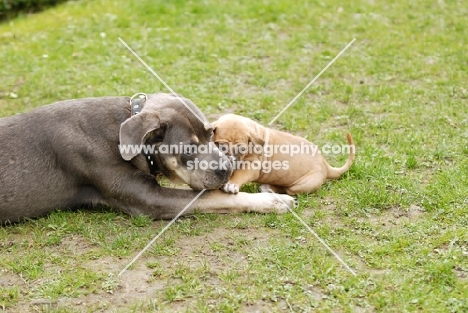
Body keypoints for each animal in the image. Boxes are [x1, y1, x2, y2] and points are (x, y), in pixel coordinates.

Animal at [0, 91, 292, 223]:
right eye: (189, 148)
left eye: (211, 134)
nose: (228, 169)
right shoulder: (149, 198)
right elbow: (215, 197)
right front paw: (272, 201)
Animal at [212, 112, 354, 195]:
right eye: (221, 146)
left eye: (241, 149)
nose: (230, 161)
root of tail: (326, 165)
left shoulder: (251, 167)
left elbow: (239, 174)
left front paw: (231, 184)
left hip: (301, 186)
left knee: (286, 189)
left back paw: (268, 188)